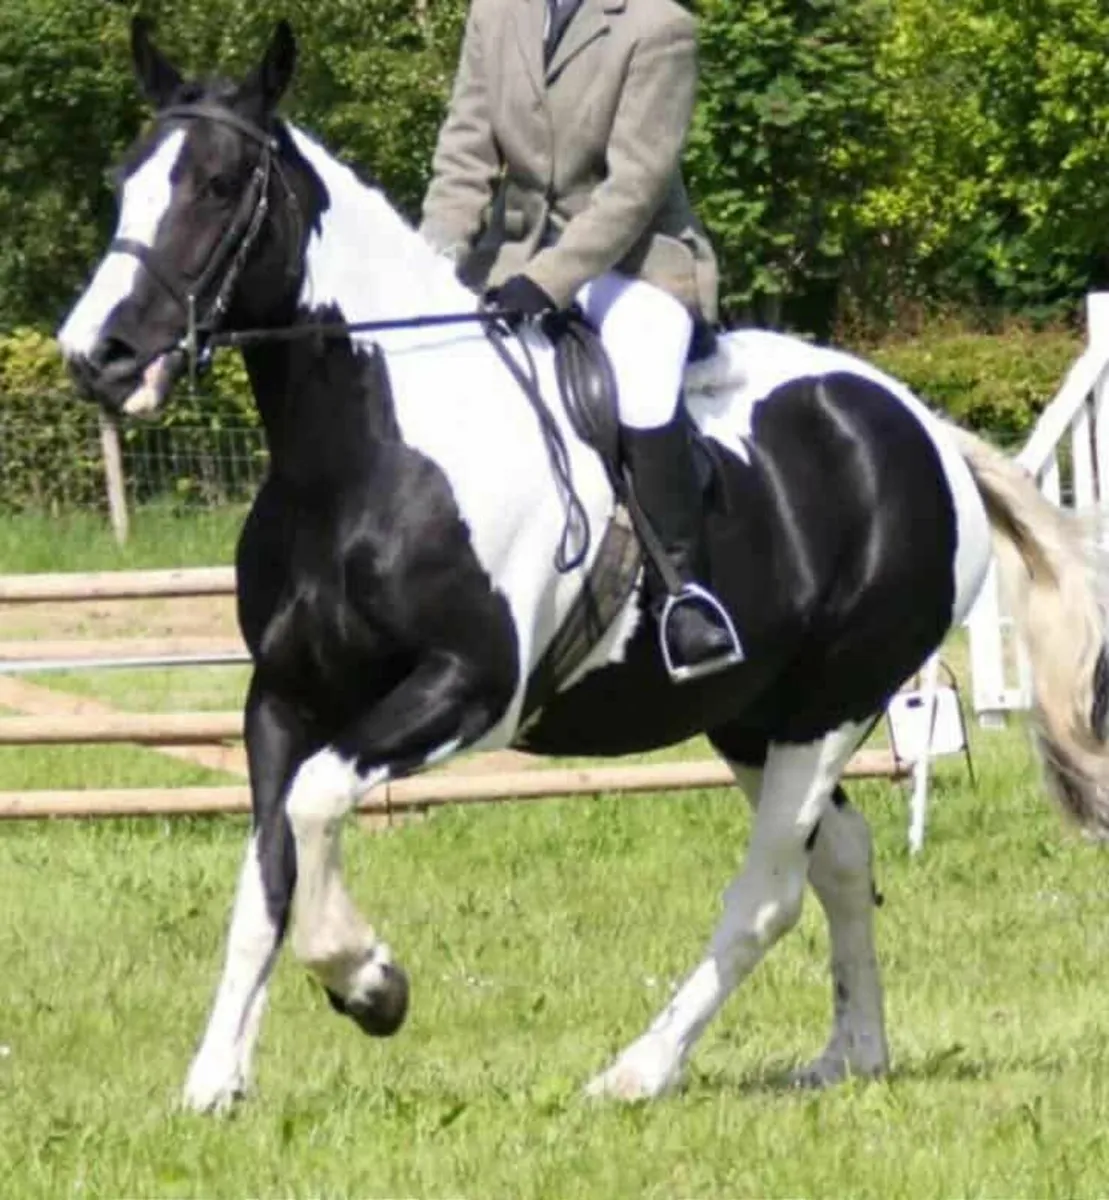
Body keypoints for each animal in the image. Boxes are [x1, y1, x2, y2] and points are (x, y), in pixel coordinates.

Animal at [58, 19, 1109, 1115]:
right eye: (124, 181)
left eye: (219, 184)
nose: (100, 356)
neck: (360, 452)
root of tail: (924, 427)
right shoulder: (282, 695)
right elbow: (268, 871)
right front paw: (213, 1084)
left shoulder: (468, 691)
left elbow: (313, 805)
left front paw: (369, 984)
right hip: (750, 714)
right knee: (839, 861)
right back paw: (849, 1054)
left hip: (827, 711)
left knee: (768, 892)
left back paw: (637, 1071)